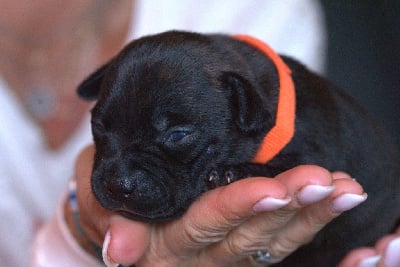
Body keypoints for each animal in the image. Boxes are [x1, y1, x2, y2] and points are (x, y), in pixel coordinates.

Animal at [76, 30, 398, 266]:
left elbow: (281, 165)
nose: (118, 185)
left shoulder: (317, 154)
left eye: (177, 135)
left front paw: (231, 172)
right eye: (98, 126)